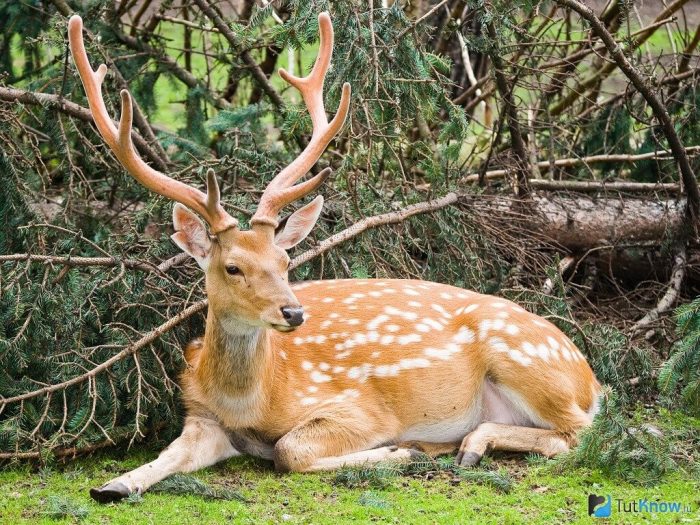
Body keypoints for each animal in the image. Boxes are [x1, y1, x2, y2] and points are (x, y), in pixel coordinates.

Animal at [68, 12, 601, 503]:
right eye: (232, 267)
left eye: (286, 262)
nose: (293, 312)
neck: (255, 400)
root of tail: (591, 378)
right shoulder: (202, 417)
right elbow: (168, 455)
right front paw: (113, 484)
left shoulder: (360, 407)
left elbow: (289, 450)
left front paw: (398, 451)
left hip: (524, 361)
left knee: (579, 432)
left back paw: (461, 445)